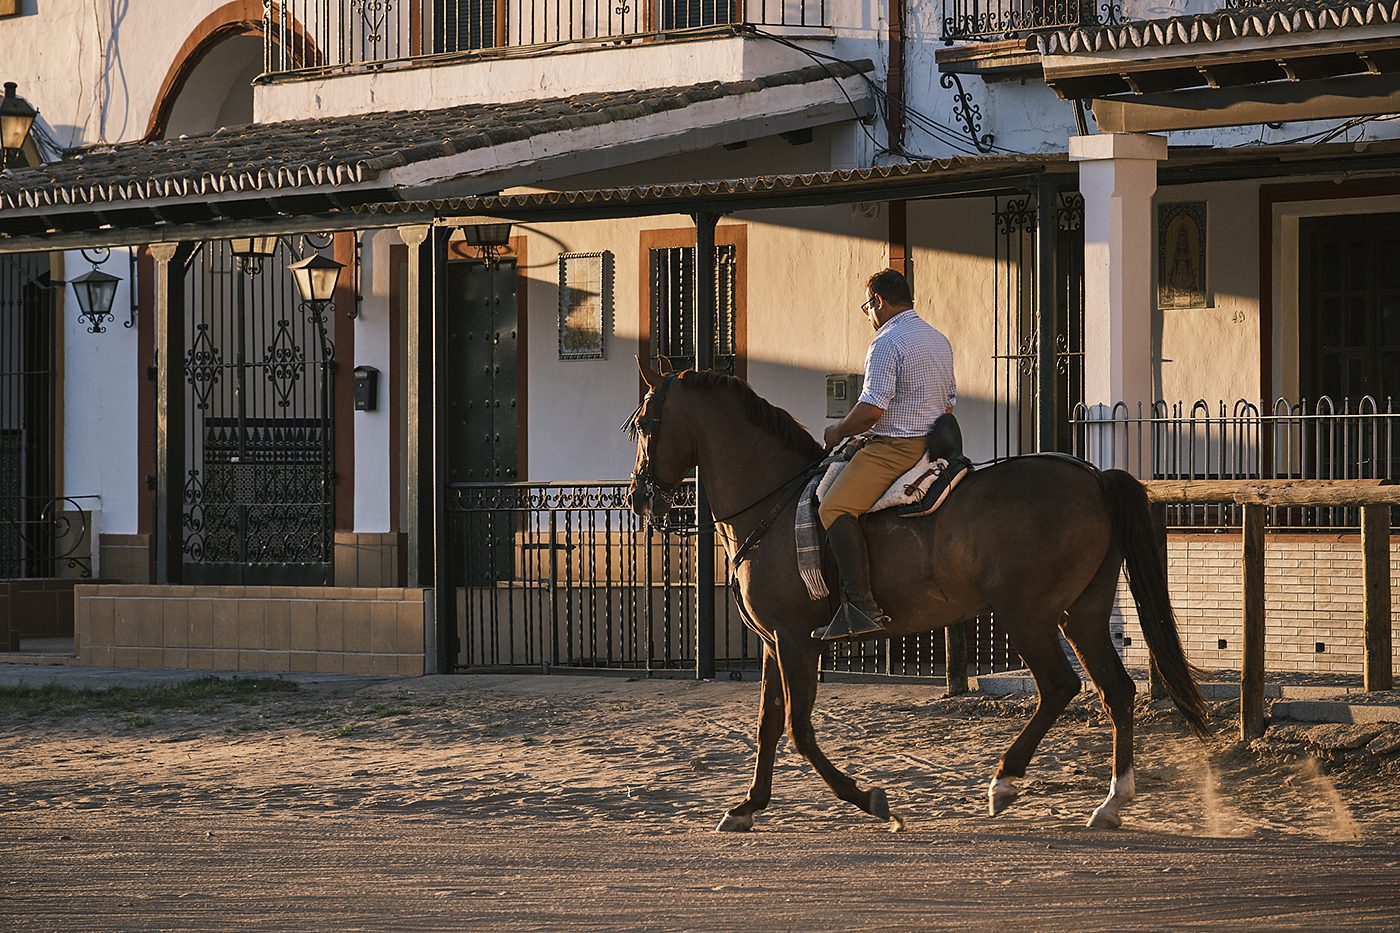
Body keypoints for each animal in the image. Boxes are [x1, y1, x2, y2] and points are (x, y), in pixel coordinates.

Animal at [630, 361, 1209, 829]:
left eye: (642, 424)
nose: (637, 497)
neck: (776, 500)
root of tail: (1093, 476)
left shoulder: (795, 640)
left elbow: (797, 729)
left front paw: (868, 799)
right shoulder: (775, 643)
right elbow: (769, 725)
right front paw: (748, 806)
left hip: (1027, 616)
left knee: (1060, 686)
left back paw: (1005, 780)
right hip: (1081, 614)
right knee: (1115, 690)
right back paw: (1112, 800)